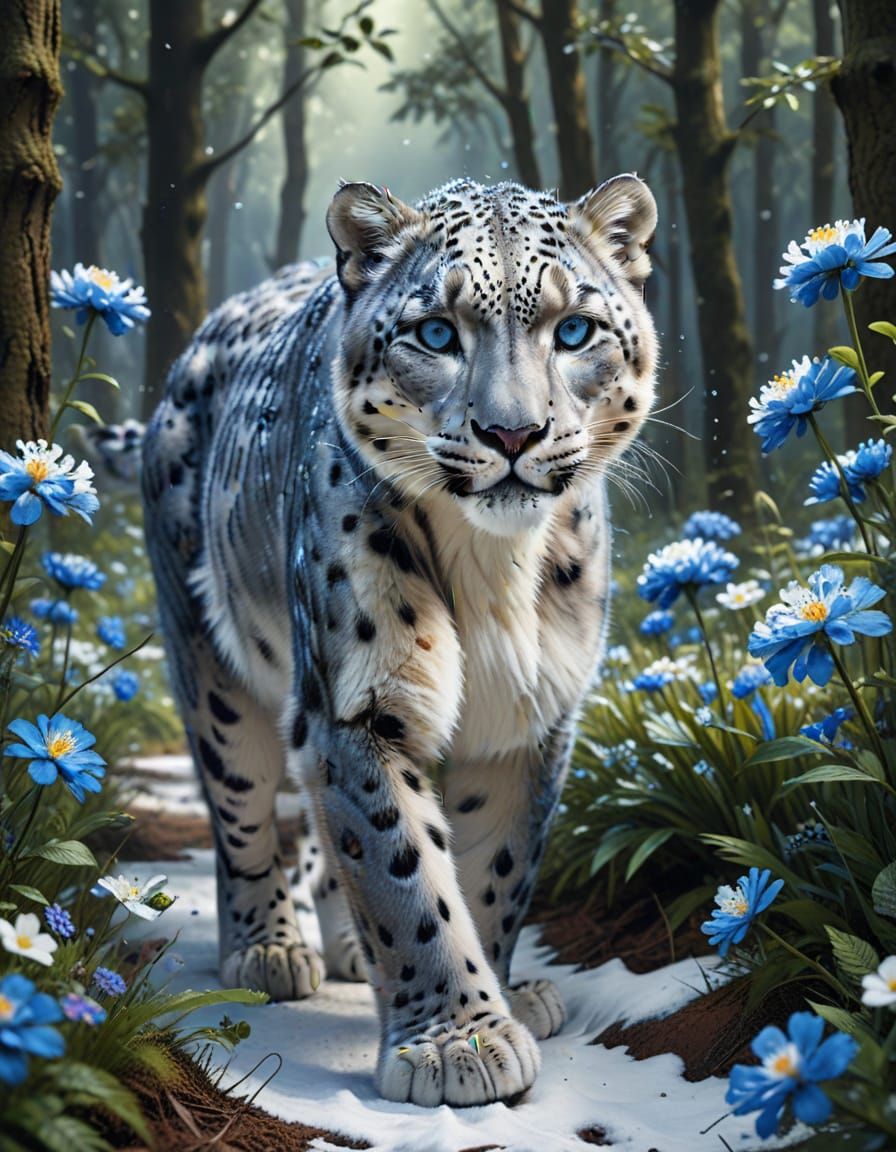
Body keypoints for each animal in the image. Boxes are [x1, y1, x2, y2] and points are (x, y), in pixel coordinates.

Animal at [141, 174, 658, 1107]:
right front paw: (457, 1042)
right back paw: (269, 947)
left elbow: (496, 867)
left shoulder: (533, 715)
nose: (513, 434)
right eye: (436, 333)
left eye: (574, 330)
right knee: (241, 804)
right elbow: (401, 865)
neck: (496, 575)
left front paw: (497, 998)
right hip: (214, 671)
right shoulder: (359, 702)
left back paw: (353, 949)